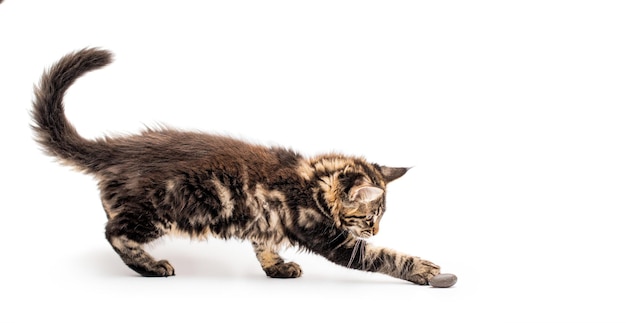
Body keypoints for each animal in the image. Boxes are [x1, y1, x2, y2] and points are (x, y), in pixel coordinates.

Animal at [29, 48, 438, 286]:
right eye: (369, 219)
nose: (376, 230)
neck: (312, 181)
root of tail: (118, 150)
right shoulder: (329, 237)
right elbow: (381, 257)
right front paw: (421, 269)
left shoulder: (265, 219)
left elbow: (263, 245)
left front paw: (277, 268)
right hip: (158, 210)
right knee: (114, 232)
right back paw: (151, 266)